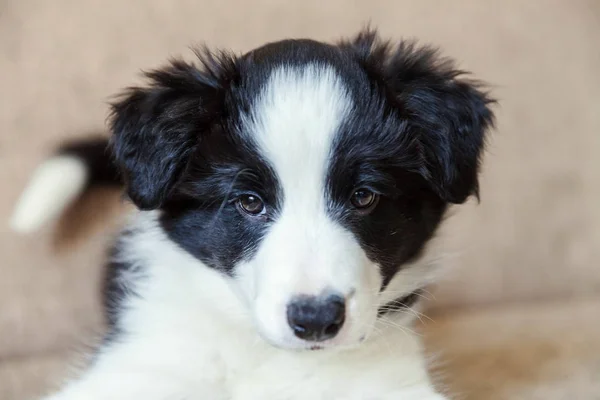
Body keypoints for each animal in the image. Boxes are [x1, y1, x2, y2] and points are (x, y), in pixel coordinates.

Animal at [11, 28, 494, 400]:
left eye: (363, 196)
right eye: (248, 202)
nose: (315, 320)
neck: (269, 357)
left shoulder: (390, 380)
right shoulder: (140, 365)